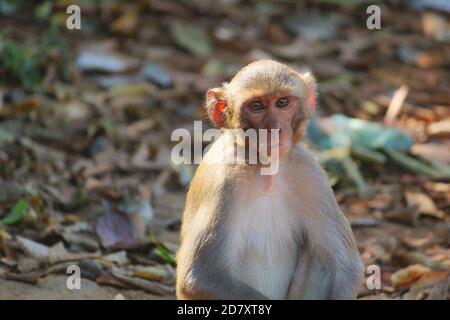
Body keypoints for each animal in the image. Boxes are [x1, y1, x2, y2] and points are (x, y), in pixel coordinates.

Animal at [176, 59, 366, 300]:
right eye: (257, 106)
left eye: (282, 102)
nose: (275, 129)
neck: (267, 170)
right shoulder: (224, 181)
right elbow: (201, 275)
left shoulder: (311, 175)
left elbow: (347, 268)